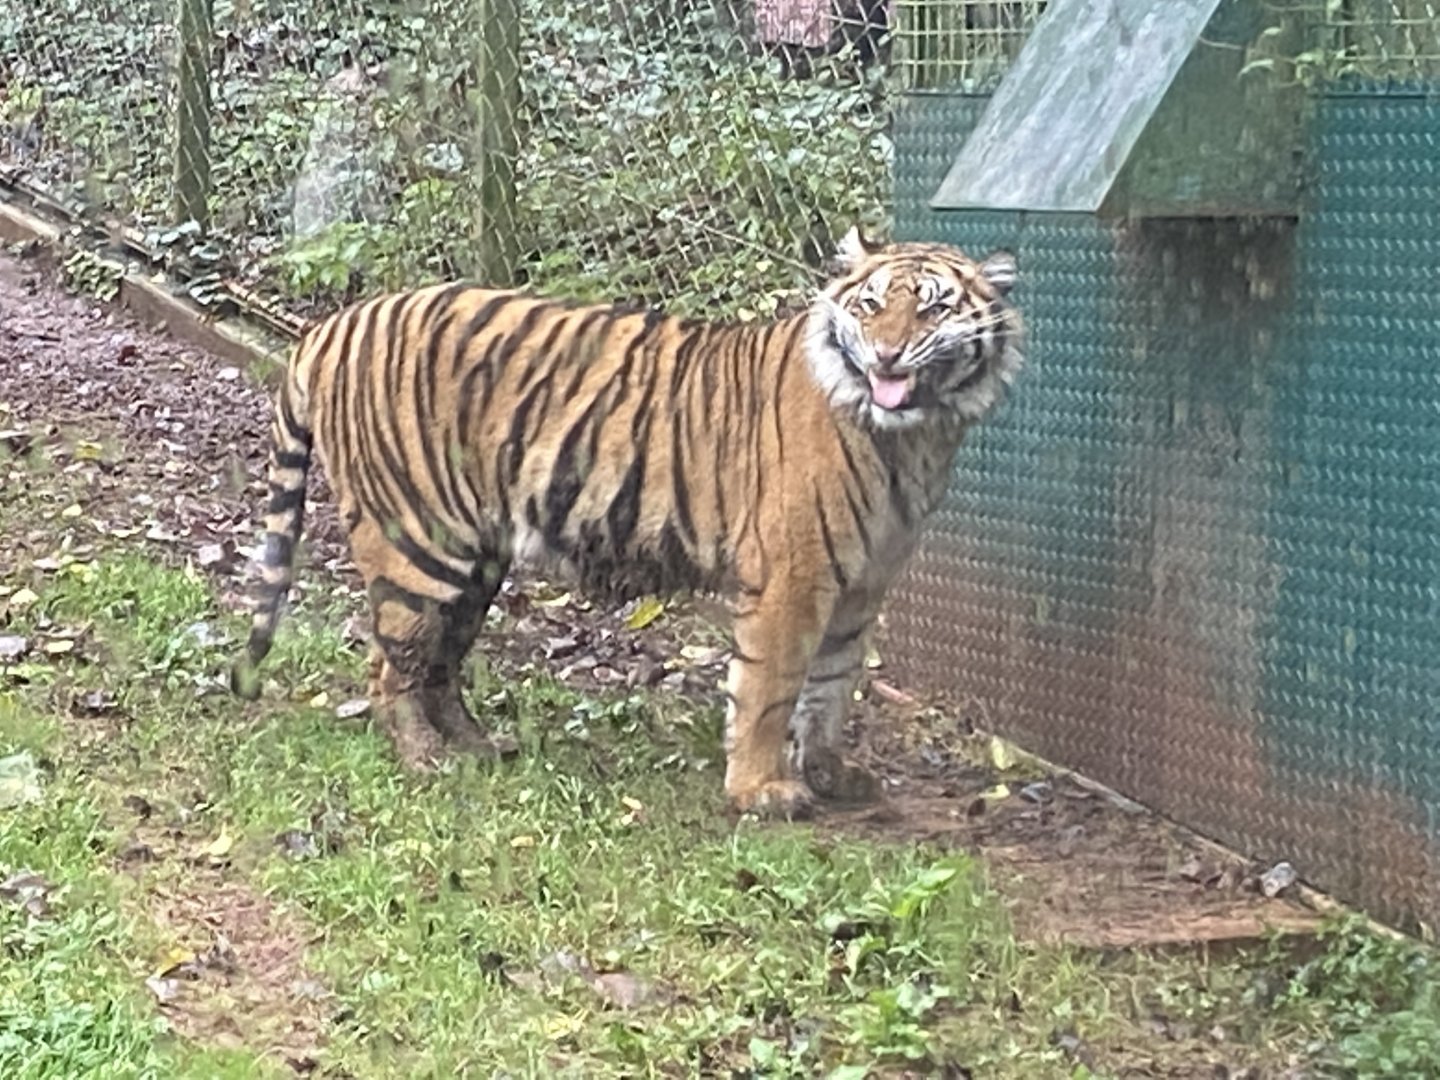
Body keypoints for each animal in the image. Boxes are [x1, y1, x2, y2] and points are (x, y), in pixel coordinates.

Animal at [229, 227, 1024, 819]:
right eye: (869, 307)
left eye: (932, 310)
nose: (887, 355)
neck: (915, 435)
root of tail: (331, 323)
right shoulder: (792, 578)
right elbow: (771, 690)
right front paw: (761, 790)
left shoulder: (861, 585)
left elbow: (831, 689)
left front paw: (831, 775)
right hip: (418, 540)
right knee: (390, 659)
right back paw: (424, 758)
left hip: (476, 555)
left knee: (441, 661)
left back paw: (479, 746)